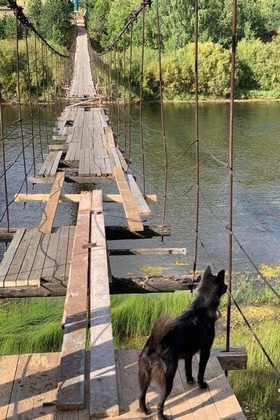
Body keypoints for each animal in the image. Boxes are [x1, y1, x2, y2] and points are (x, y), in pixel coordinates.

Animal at [138, 266, 228, 420]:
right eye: (223, 283)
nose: (228, 286)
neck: (201, 307)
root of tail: (156, 343)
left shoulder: (188, 354)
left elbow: (188, 368)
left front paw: (190, 380)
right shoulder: (205, 350)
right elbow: (201, 371)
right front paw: (201, 384)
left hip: (145, 376)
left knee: (141, 396)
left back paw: (145, 410)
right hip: (167, 378)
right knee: (160, 403)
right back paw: (162, 416)